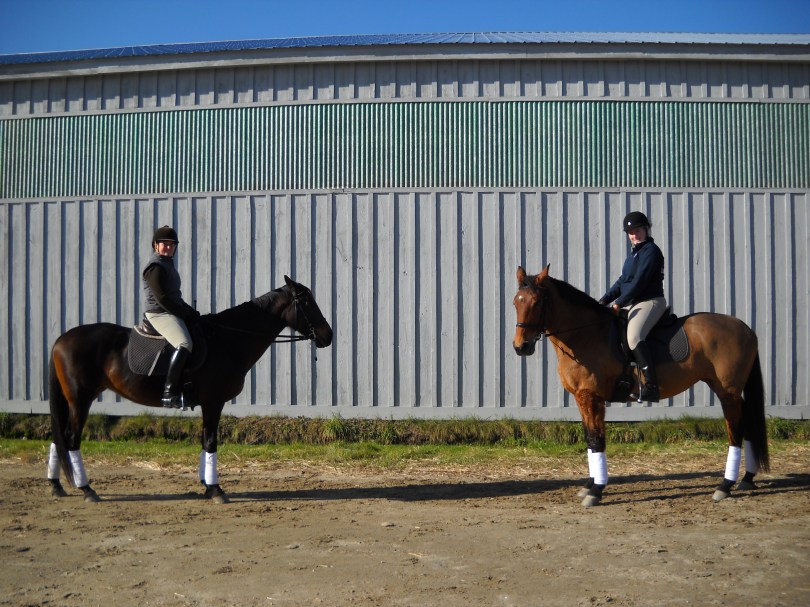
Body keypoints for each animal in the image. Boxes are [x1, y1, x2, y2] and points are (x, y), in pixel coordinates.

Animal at [47, 275, 333, 504]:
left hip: (72, 401)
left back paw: (56, 485)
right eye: (306, 302)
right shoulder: (214, 401)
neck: (228, 340)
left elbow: (205, 441)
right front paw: (216, 490)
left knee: (58, 436)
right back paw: (87, 490)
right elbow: (211, 441)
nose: (328, 335)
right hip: (80, 400)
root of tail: (61, 340)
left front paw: (207, 485)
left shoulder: (209, 403)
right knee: (70, 438)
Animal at [512, 265, 769, 507]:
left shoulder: (591, 397)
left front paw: (596, 491)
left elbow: (597, 439)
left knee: (735, 431)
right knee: (747, 425)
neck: (586, 334)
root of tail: (745, 328)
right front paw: (589, 485)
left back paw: (725, 486)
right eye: (516, 302)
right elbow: (589, 439)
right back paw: (747, 479)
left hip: (728, 393)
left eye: (537, 302)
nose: (520, 347)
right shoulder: (581, 397)